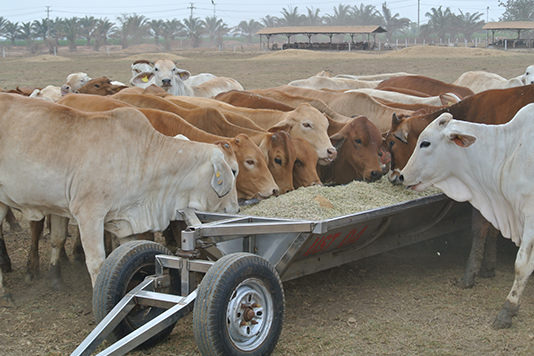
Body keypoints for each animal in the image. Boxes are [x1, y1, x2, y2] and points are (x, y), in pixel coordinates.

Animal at [400, 105, 534, 328]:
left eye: (425, 143)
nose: (401, 176)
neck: (510, 151)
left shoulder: (530, 217)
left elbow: (522, 265)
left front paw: (507, 310)